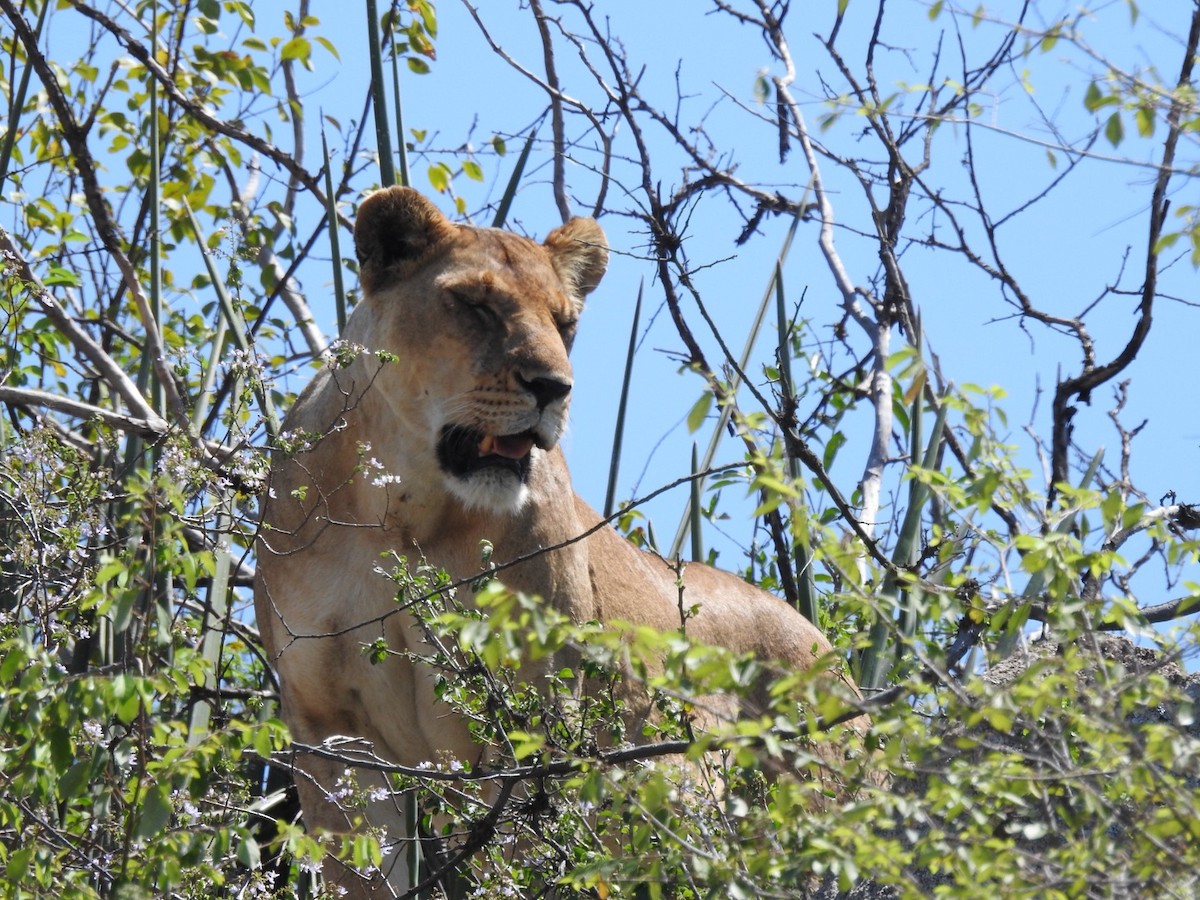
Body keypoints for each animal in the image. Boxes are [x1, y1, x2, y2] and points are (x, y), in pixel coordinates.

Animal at [254, 186, 868, 896]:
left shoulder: (530, 724)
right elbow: (360, 869)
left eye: (565, 321)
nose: (553, 388)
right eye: (476, 303)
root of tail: (831, 656)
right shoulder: (331, 730)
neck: (402, 511)